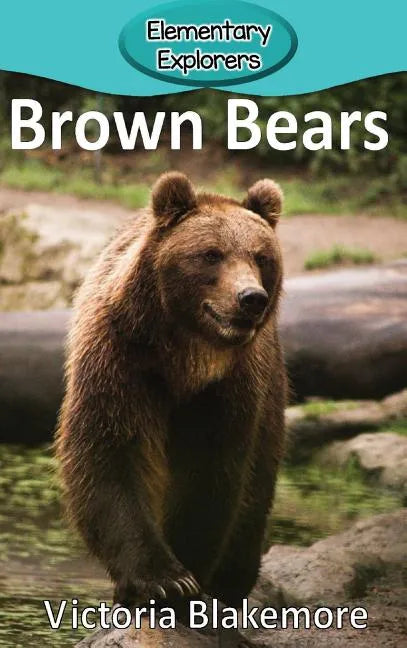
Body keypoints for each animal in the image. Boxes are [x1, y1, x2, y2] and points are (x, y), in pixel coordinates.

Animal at [56, 172, 287, 609]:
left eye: (261, 257)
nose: (250, 298)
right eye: (212, 254)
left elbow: (210, 472)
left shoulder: (229, 388)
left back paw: (232, 582)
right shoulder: (119, 361)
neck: (185, 358)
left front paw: (189, 573)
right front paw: (163, 579)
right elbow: (110, 456)